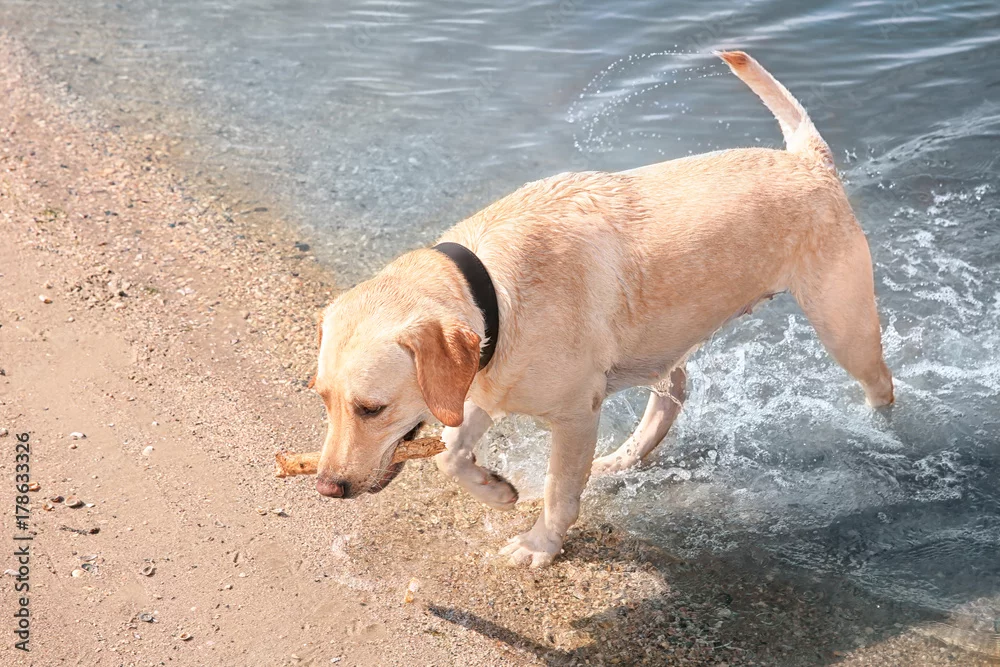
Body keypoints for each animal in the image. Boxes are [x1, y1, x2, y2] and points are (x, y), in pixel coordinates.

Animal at [309, 51, 894, 567]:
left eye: (371, 409)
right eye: (323, 399)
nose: (326, 487)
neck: (493, 293)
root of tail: (808, 160)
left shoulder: (573, 415)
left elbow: (558, 490)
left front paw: (539, 545)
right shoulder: (481, 383)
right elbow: (450, 454)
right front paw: (496, 489)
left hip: (844, 324)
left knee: (881, 385)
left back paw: (881, 433)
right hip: (665, 338)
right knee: (673, 394)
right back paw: (622, 457)